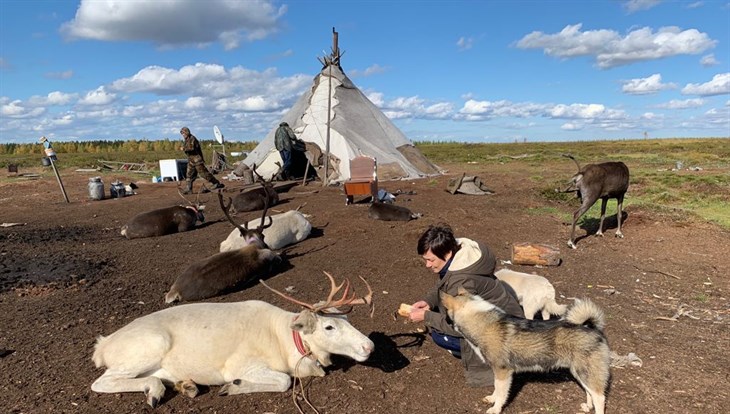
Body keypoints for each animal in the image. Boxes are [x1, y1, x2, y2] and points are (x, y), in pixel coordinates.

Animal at [438, 288, 608, 414]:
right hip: (579, 373)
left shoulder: (503, 372)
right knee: (590, 393)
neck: (484, 324)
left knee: (599, 397)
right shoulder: (497, 371)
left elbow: (501, 393)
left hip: (585, 373)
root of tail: (592, 328)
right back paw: (587, 407)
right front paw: (492, 399)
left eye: (445, 311)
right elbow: (495, 389)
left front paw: (495, 408)